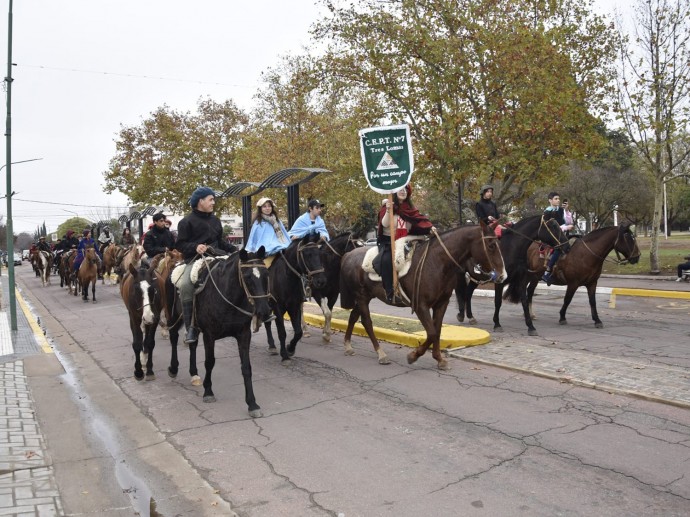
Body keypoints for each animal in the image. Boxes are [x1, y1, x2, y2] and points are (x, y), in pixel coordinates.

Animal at [183, 248, 274, 414]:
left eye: (266, 274)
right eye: (247, 277)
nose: (264, 311)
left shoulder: (244, 334)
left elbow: (246, 367)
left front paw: (252, 403)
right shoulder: (209, 335)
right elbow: (209, 362)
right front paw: (208, 392)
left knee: (192, 344)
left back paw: (194, 374)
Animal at [264, 234, 326, 362]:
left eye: (320, 253)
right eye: (308, 254)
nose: (321, 281)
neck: (287, 276)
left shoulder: (294, 306)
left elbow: (298, 332)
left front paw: (290, 349)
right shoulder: (277, 307)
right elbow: (282, 332)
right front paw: (284, 355)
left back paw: (272, 346)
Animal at [338, 220, 506, 368]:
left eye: (499, 244)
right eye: (491, 246)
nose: (502, 276)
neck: (437, 262)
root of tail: (348, 255)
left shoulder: (441, 304)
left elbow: (437, 331)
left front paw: (439, 359)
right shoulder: (421, 306)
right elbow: (431, 333)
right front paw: (413, 356)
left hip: (365, 297)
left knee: (353, 316)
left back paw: (348, 346)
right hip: (361, 297)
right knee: (367, 322)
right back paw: (381, 354)